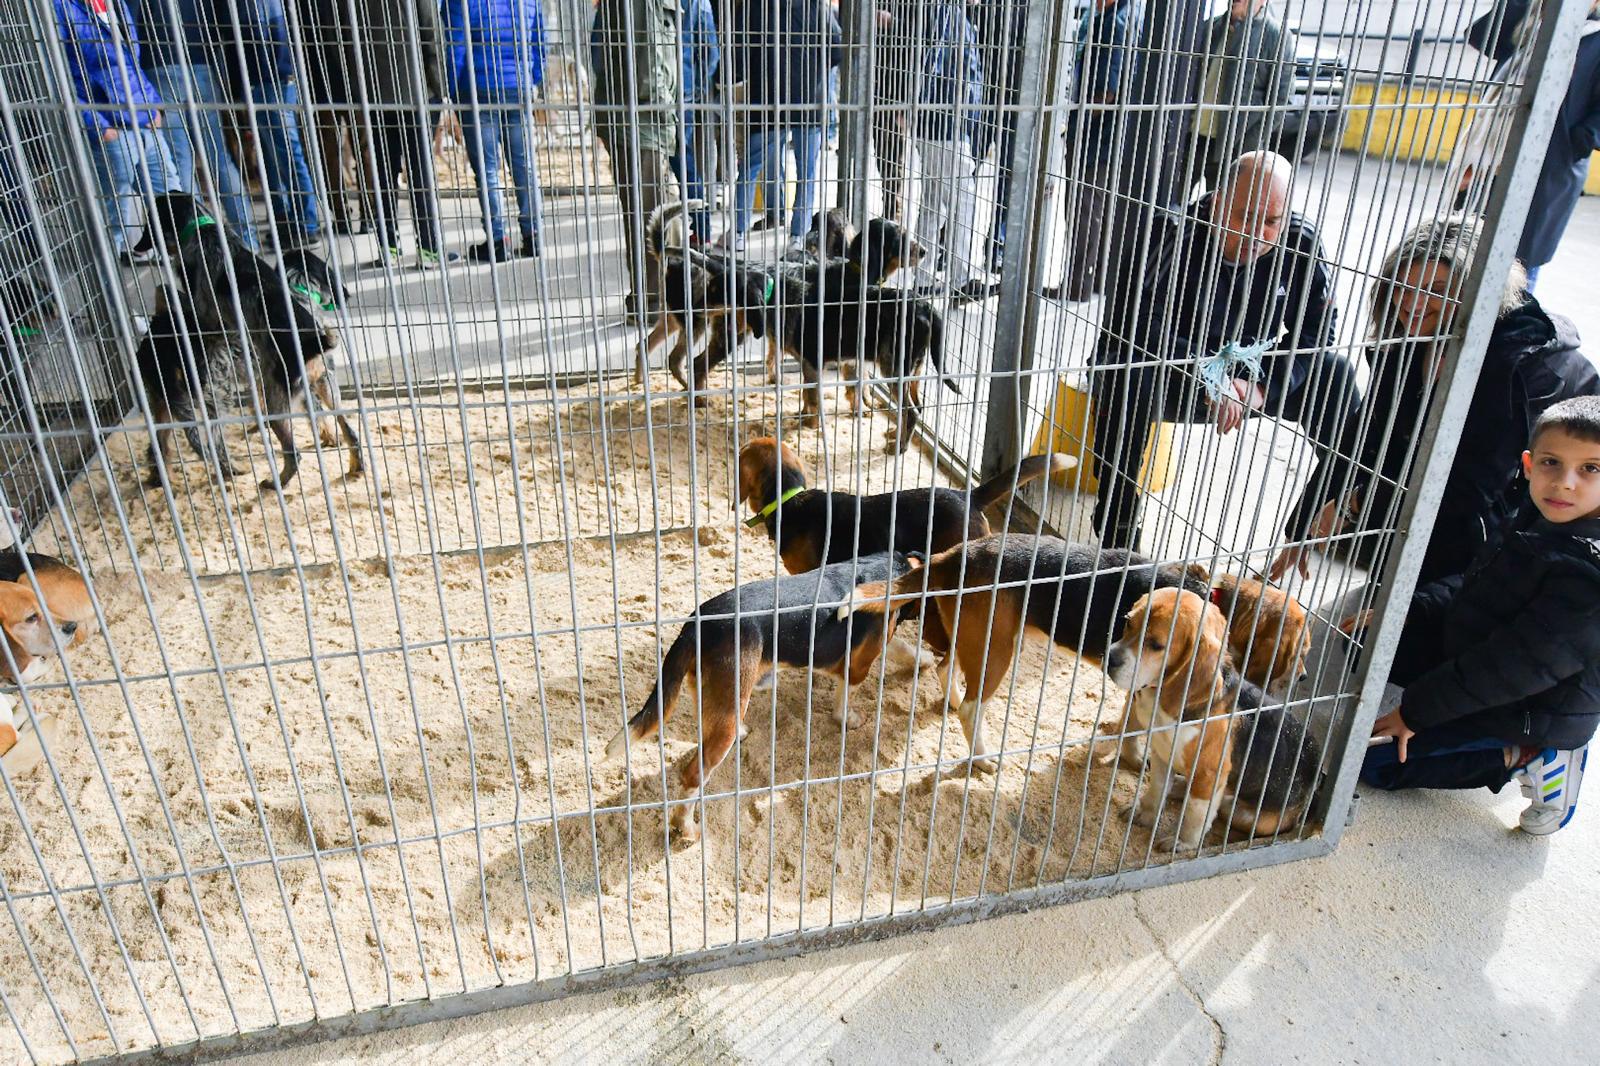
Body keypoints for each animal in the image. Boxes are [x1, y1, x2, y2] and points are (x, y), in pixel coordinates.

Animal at [601, 547, 928, 838]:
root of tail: (696, 625)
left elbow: (904, 649)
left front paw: (923, 660)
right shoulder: (858, 663)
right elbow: (847, 695)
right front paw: (848, 719)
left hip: (711, 694)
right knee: (694, 775)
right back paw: (686, 828)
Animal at [1107, 585, 1318, 851]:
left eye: (1156, 645)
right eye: (1128, 622)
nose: (1109, 658)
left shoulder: (1209, 773)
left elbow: (1195, 814)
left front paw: (1183, 842)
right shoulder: (1162, 753)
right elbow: (1157, 789)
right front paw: (1145, 814)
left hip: (1242, 812)